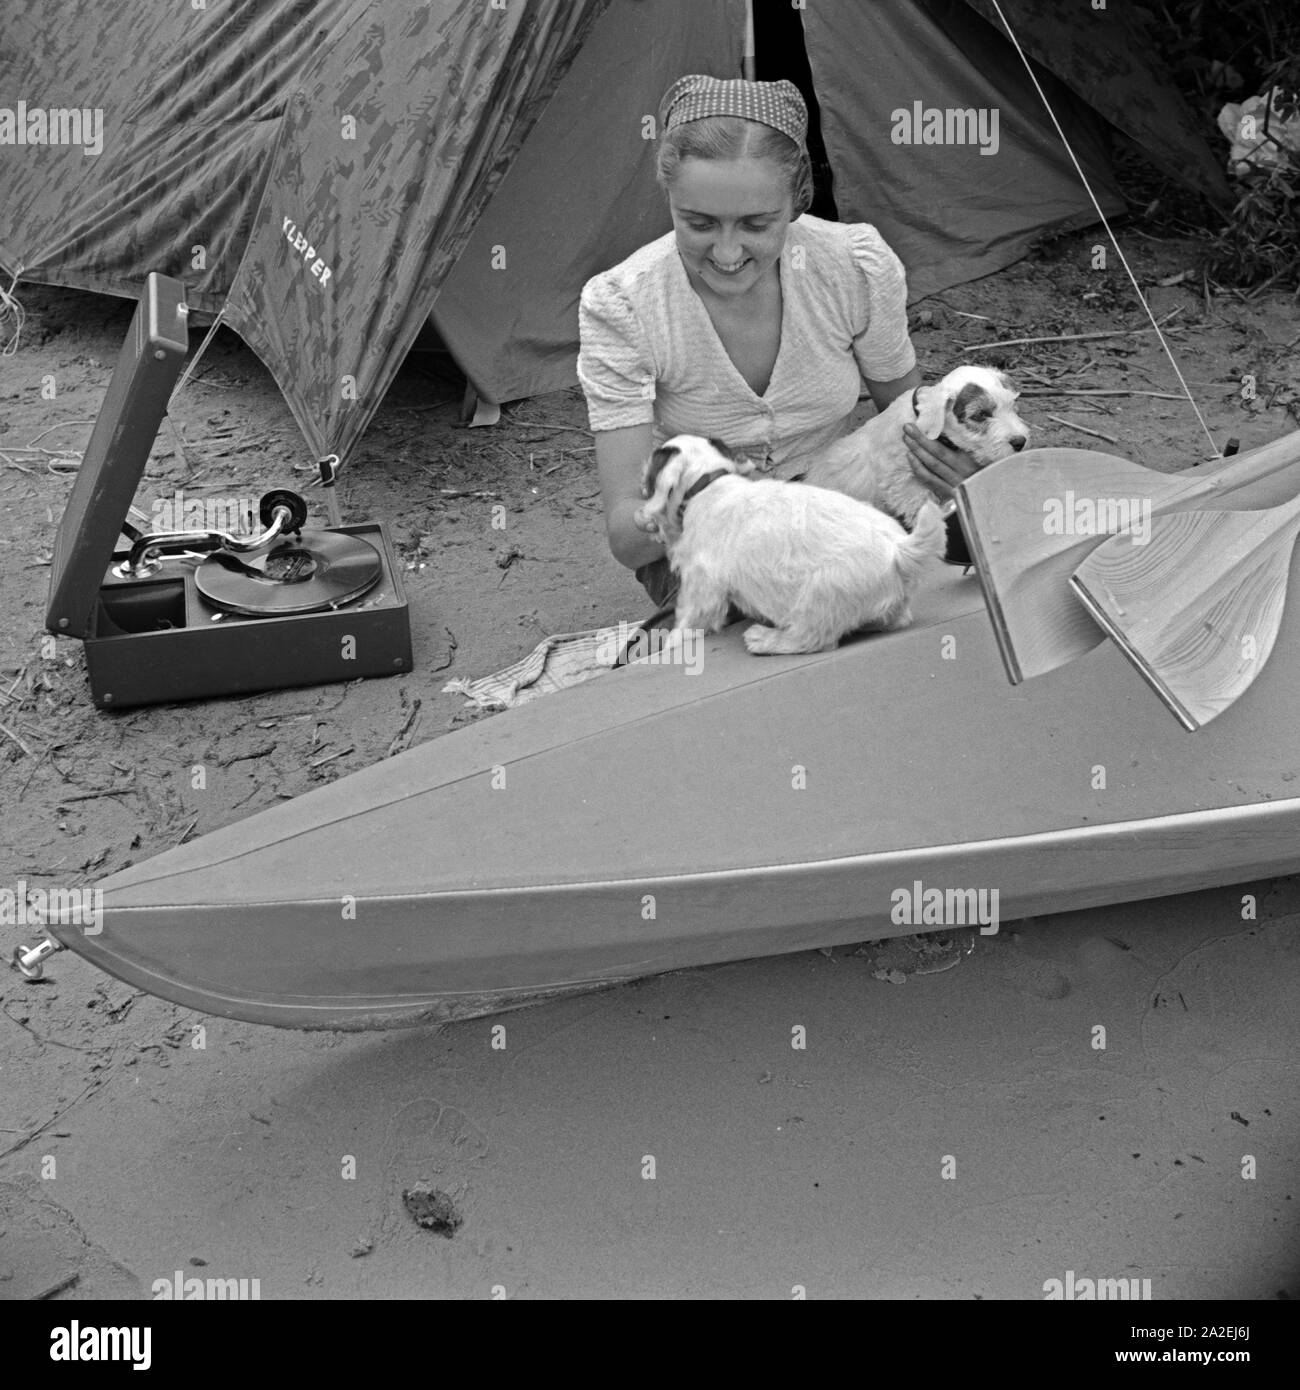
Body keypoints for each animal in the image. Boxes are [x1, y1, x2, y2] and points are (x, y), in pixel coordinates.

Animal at [634, 433, 945, 656]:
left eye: (650, 475)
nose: (641, 515)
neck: (708, 485)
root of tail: (900, 550)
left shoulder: (702, 585)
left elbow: (689, 619)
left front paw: (672, 642)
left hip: (818, 597)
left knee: (812, 639)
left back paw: (764, 639)